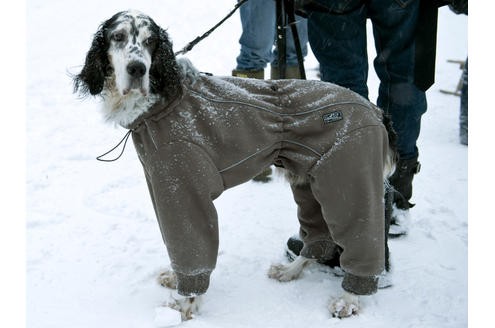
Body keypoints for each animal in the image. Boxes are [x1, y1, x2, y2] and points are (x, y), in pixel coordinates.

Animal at [74, 9, 400, 320]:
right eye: (118, 36)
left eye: (150, 41)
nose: (137, 68)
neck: (164, 99)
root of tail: (375, 110)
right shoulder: (162, 185)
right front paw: (175, 281)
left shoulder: (183, 191)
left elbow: (192, 252)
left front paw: (186, 306)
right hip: (312, 184)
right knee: (320, 238)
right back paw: (290, 271)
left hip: (349, 182)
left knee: (361, 241)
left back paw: (348, 300)